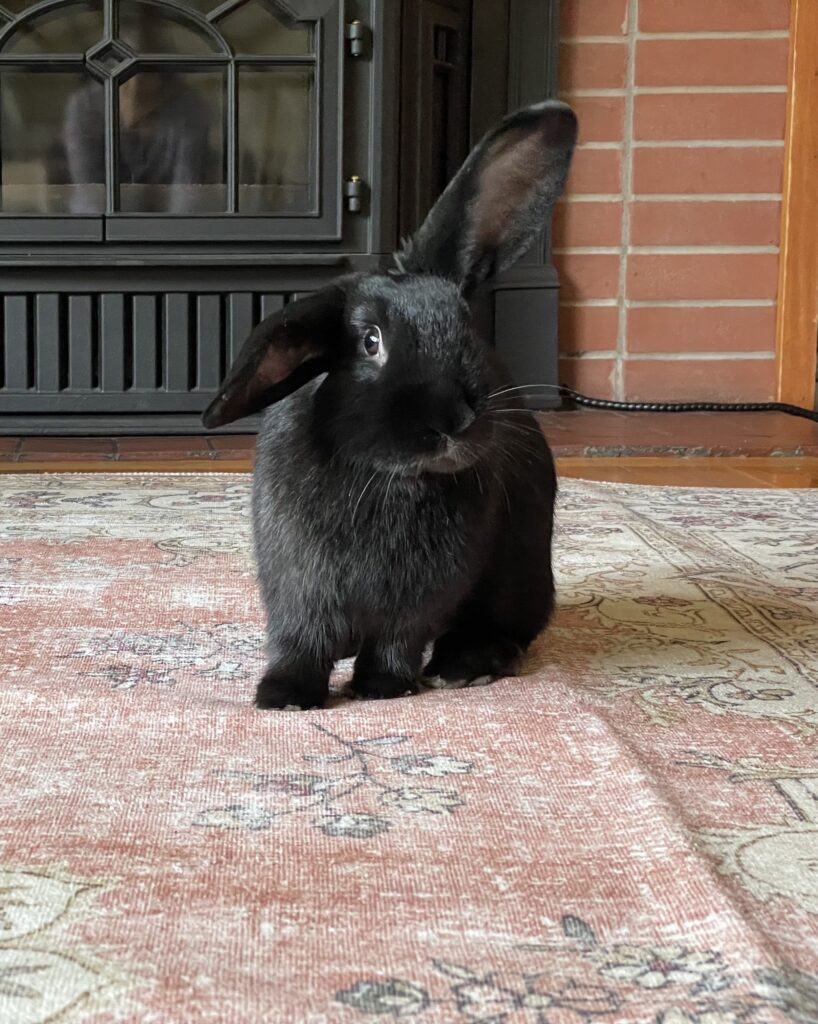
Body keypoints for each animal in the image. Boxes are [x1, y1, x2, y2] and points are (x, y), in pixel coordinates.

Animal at [203, 99, 577, 708]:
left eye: (466, 327)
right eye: (370, 342)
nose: (454, 421)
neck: (389, 481)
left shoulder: (419, 604)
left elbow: (396, 642)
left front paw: (382, 689)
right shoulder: (299, 588)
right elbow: (301, 640)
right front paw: (283, 696)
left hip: (518, 574)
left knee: (507, 629)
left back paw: (464, 666)